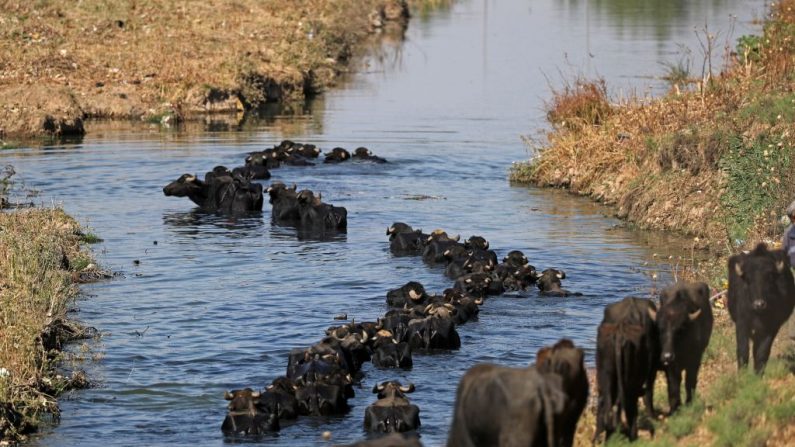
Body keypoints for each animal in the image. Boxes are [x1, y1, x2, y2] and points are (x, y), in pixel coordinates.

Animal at [652, 282, 716, 414]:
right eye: (660, 329)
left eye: (679, 329)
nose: (667, 356)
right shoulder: (671, 366)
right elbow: (674, 384)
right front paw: (675, 407)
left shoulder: (695, 360)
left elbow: (690, 381)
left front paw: (689, 403)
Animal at [732, 243, 792, 372]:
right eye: (748, 279)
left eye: (769, 277)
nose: (759, 304)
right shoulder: (741, 323)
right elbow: (743, 349)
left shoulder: (772, 326)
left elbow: (762, 351)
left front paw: (758, 371)